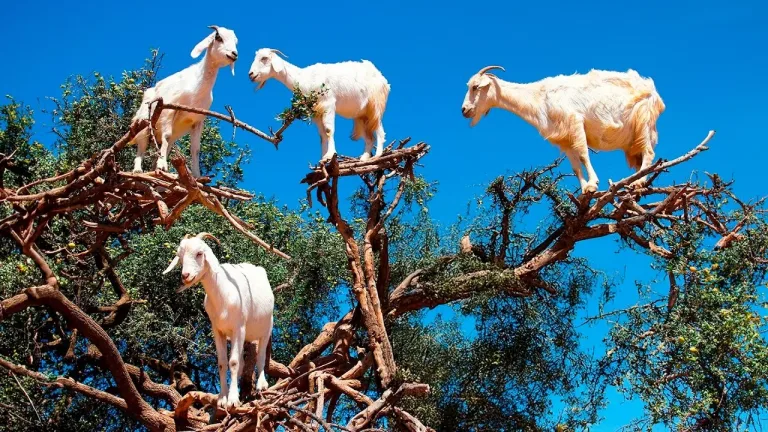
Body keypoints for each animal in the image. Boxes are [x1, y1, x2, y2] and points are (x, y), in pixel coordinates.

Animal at [130, 25, 239, 178]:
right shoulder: (169, 110)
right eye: (218, 37)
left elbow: (196, 149)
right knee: (142, 146)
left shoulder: (198, 120)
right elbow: (167, 135)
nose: (234, 54)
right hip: (143, 125)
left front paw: (197, 176)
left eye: (235, 41)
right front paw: (163, 165)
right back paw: (138, 170)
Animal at [163, 232, 274, 409]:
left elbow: (233, 362)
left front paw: (233, 400)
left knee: (261, 356)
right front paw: (223, 398)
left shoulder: (238, 327)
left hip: (266, 328)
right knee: (243, 361)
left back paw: (261, 384)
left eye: (199, 253)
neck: (223, 292)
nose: (185, 276)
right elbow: (222, 363)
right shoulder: (218, 330)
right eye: (180, 256)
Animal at [248, 48, 390, 162]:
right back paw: (364, 158)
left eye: (264, 58)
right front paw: (322, 159)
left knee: (379, 130)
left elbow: (328, 130)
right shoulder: (316, 112)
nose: (251, 75)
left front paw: (330, 155)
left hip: (375, 106)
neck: (304, 78)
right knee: (369, 137)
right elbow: (322, 136)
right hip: (361, 115)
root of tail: (383, 80)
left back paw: (377, 155)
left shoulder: (328, 104)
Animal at [461, 66, 665, 193]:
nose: (464, 110)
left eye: (476, 87)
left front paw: (593, 184)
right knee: (640, 158)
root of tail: (655, 92)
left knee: (648, 152)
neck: (539, 97)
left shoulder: (575, 122)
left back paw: (638, 182)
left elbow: (583, 154)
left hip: (643, 121)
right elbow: (575, 166)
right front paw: (584, 191)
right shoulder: (564, 139)